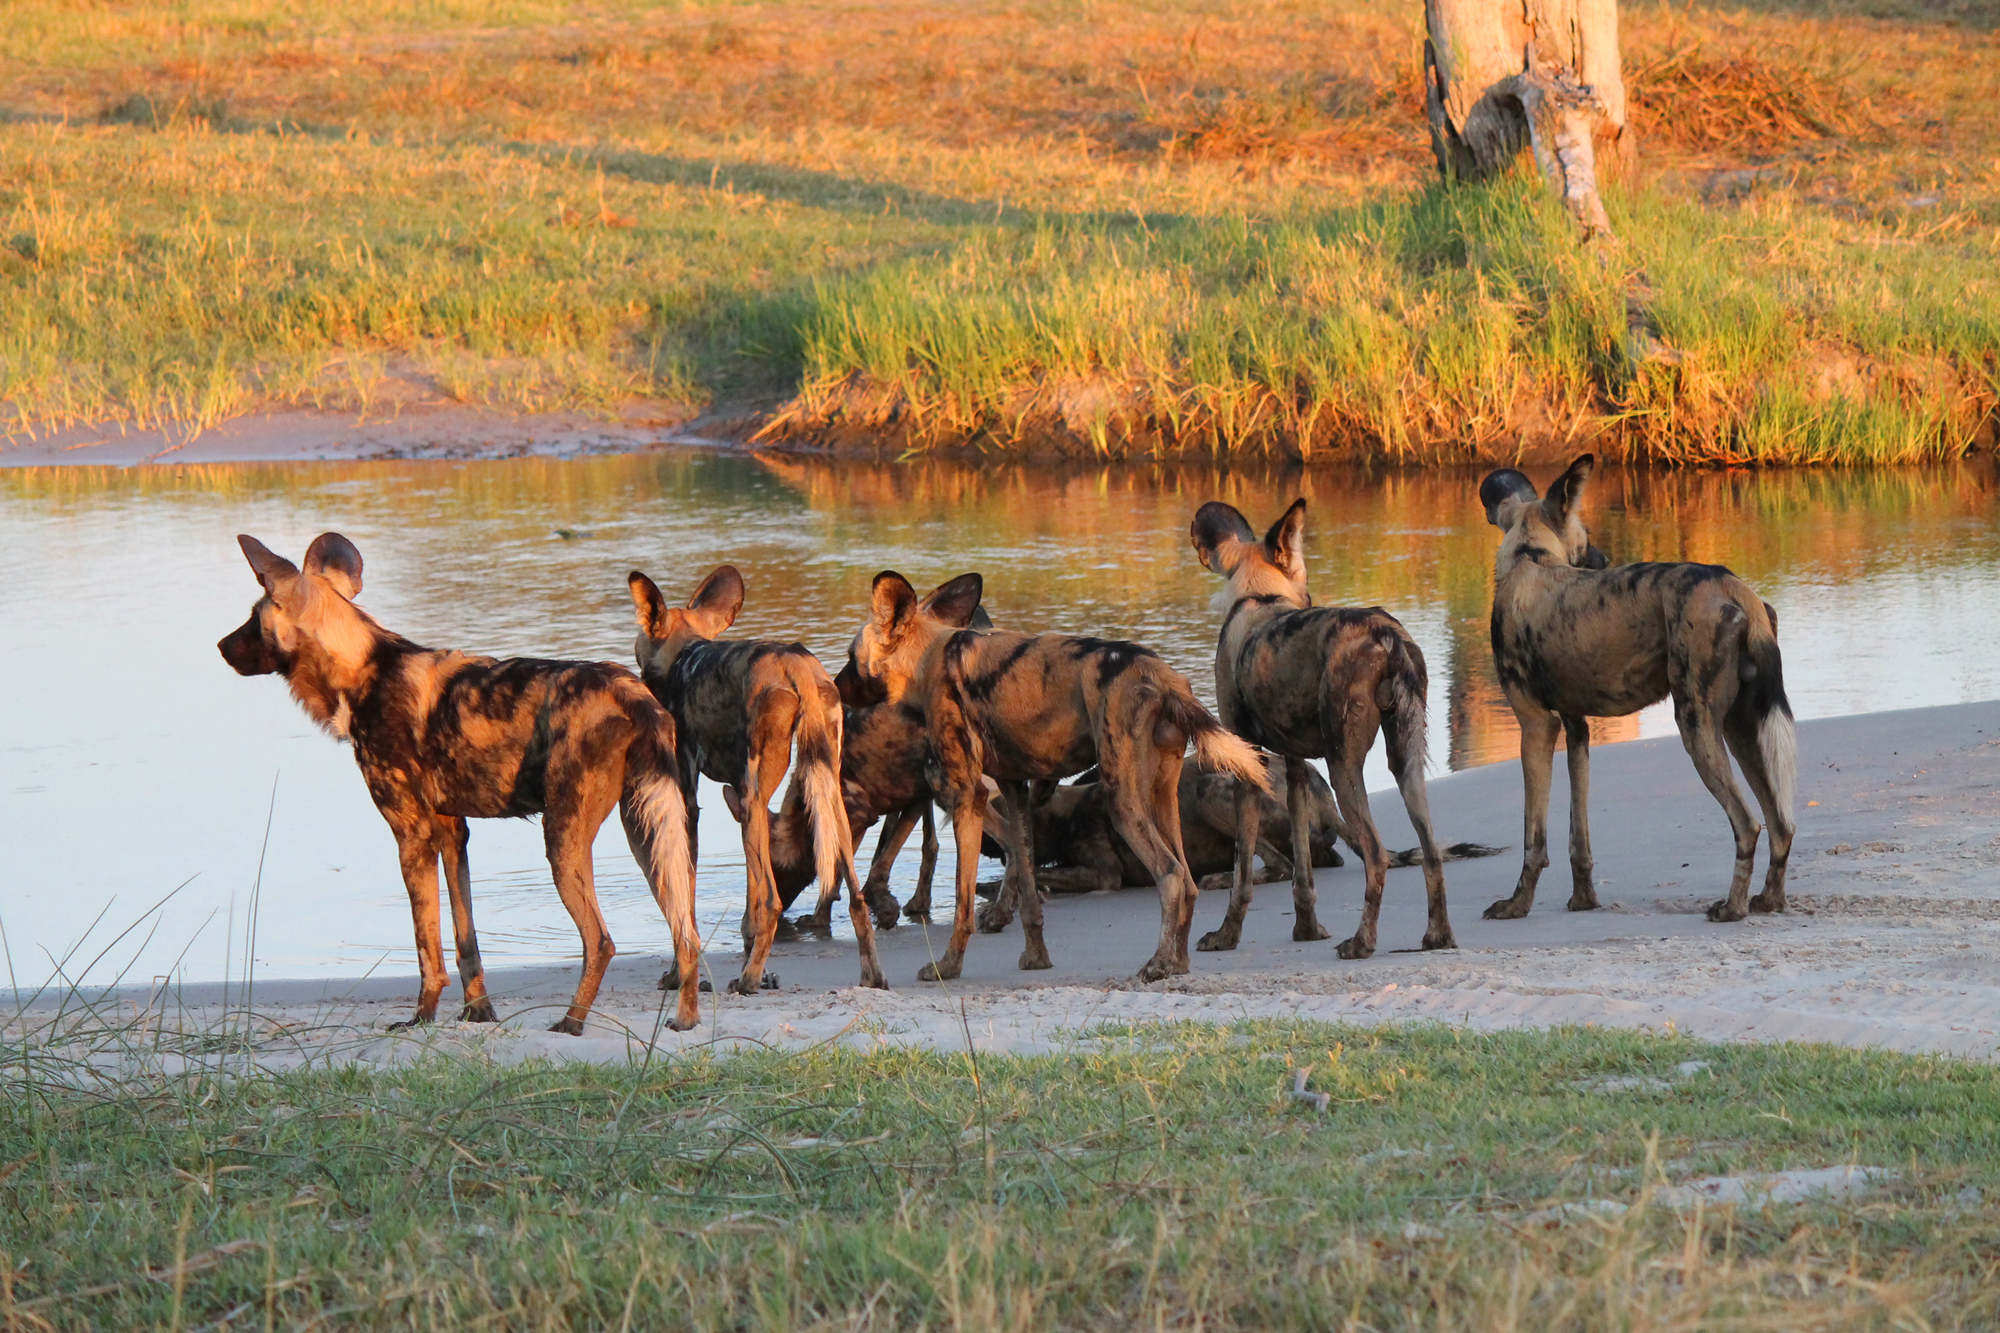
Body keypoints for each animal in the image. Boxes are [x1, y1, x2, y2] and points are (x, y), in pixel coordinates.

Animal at [217, 536, 704, 1032]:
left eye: (253, 617)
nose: (219, 645)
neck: (363, 672)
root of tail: (628, 690)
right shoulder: (453, 833)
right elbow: (465, 940)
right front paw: (478, 1014)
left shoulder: (411, 836)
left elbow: (427, 947)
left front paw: (421, 1018)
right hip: (649, 834)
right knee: (687, 933)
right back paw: (685, 1020)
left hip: (564, 838)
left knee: (601, 941)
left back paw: (571, 1023)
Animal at [628, 556, 888, 984]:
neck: (685, 654)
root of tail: (794, 663)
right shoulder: (742, 800)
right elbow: (746, 906)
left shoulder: (694, 804)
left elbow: (687, 904)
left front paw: (678, 975)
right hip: (822, 794)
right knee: (855, 897)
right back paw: (871, 976)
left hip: (755, 796)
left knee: (771, 902)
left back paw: (748, 982)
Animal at [844, 564, 1264, 980]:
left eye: (850, 655)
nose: (837, 685)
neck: (929, 656)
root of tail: (1162, 675)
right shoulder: (1016, 791)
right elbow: (1028, 887)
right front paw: (1036, 957)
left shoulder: (966, 796)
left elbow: (964, 903)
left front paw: (948, 966)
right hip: (1161, 798)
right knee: (1188, 881)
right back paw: (1178, 963)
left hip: (1122, 801)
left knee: (1171, 875)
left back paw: (1158, 963)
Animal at [1184, 498, 1456, 956]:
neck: (1261, 597)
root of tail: (1383, 630)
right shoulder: (1294, 769)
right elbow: (1303, 875)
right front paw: (1307, 929)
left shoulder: (1248, 768)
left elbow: (1242, 872)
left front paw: (1226, 936)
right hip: (1405, 761)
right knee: (1432, 851)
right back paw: (1438, 936)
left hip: (1342, 764)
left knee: (1377, 854)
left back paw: (1362, 942)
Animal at [1480, 452, 1808, 920]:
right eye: (1587, 536)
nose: (1603, 558)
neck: (1533, 560)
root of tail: (1729, 582)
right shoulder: (1577, 729)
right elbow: (1578, 837)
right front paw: (1583, 901)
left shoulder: (1536, 726)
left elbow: (1533, 840)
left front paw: (1516, 904)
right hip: (1740, 729)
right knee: (1781, 824)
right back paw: (1768, 901)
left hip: (1696, 727)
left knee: (1748, 824)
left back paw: (1732, 909)